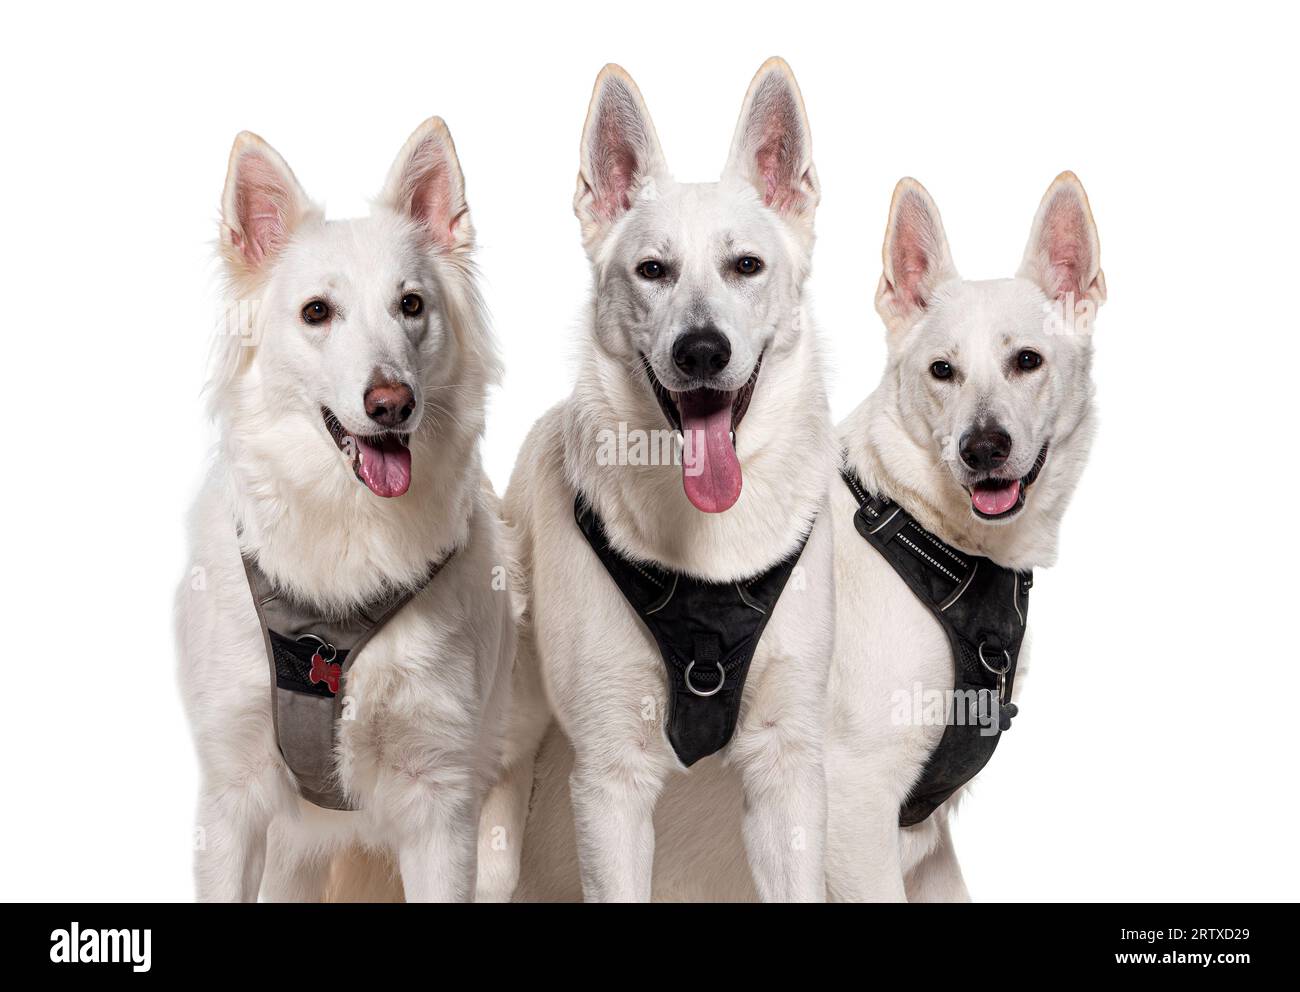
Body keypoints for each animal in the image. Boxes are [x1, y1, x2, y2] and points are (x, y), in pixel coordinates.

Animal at [178, 116, 512, 899]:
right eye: (316, 313)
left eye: (411, 305)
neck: (348, 529)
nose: (392, 404)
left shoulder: (441, 805)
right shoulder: (232, 796)